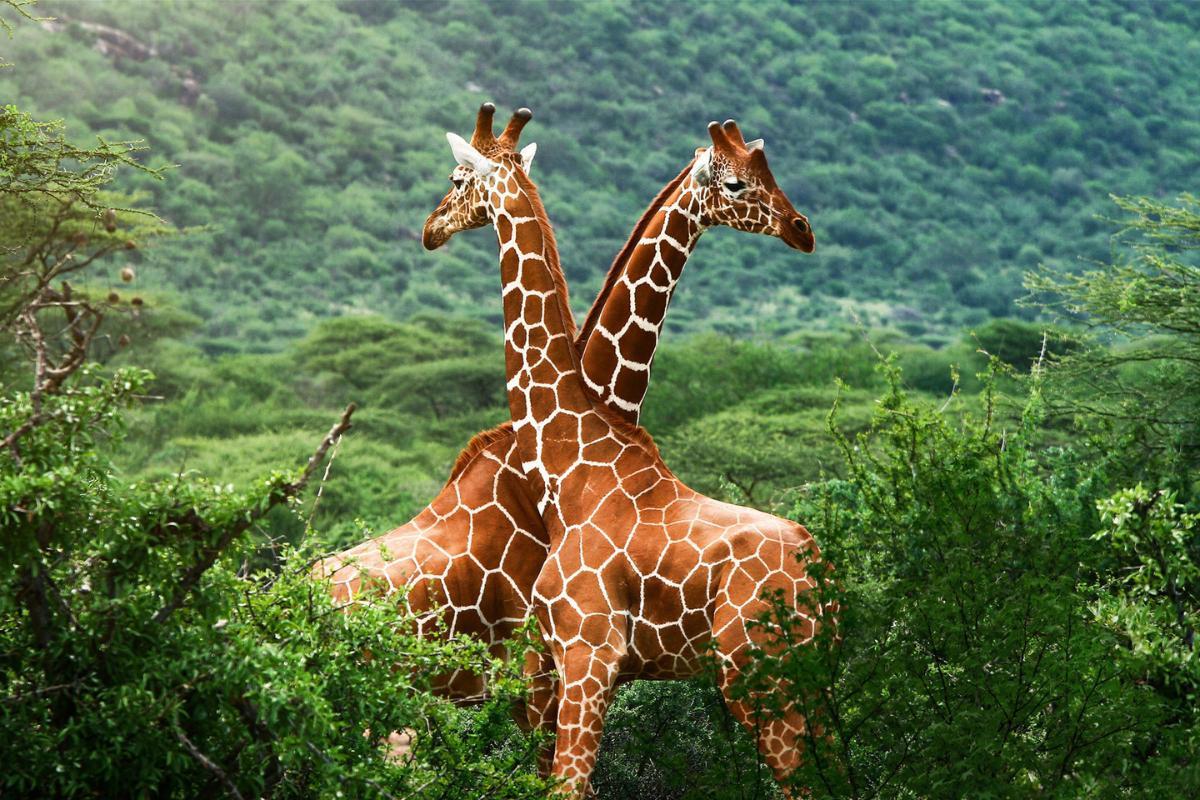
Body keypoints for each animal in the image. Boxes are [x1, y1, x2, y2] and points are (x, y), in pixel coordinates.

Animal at [422, 105, 829, 798]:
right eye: (738, 182)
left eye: (456, 178)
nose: (431, 228)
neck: (570, 459)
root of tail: (818, 569)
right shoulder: (559, 662)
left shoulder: (587, 652)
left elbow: (567, 786)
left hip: (760, 674)